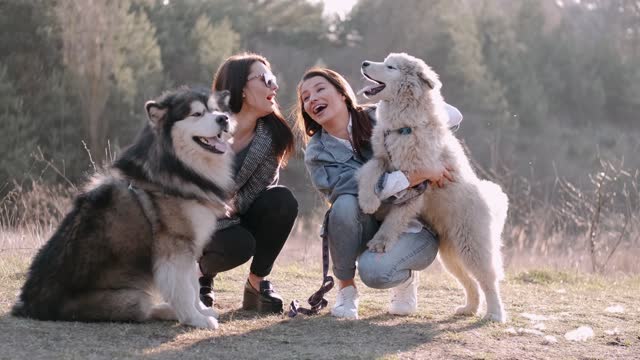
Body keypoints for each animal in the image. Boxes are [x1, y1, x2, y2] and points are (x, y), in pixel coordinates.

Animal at [358, 52, 508, 322]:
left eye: (390, 67)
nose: (365, 63)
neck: (403, 126)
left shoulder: (417, 184)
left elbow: (395, 219)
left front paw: (380, 241)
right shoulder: (382, 159)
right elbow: (368, 171)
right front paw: (368, 200)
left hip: (473, 247)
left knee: (488, 280)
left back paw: (494, 314)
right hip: (450, 255)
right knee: (470, 282)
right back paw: (469, 308)